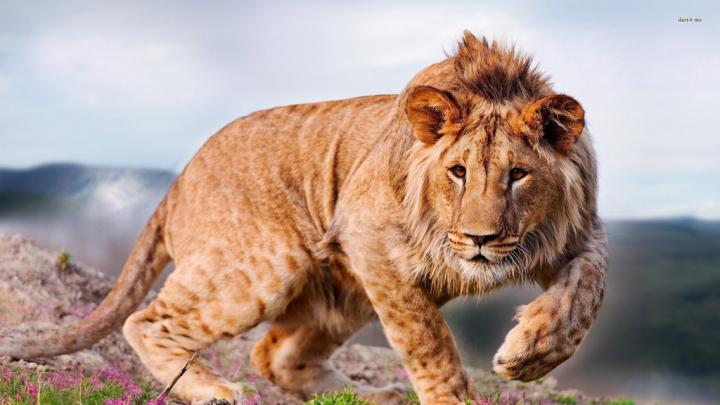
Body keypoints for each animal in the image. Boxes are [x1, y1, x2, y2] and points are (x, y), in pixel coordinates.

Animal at [1, 32, 607, 404]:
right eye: (457, 172)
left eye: (518, 175)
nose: (481, 239)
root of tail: (178, 181)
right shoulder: (370, 239)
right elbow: (427, 339)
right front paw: (450, 395)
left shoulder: (578, 230)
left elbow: (587, 291)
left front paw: (530, 353)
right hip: (271, 263)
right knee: (148, 322)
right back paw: (213, 390)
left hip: (342, 293)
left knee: (275, 355)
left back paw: (372, 395)